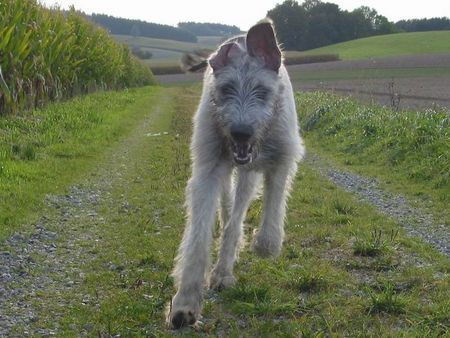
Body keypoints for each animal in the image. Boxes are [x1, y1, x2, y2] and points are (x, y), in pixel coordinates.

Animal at [169, 18, 306, 328]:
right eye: (226, 89)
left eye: (262, 90)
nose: (241, 132)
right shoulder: (207, 169)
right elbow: (197, 237)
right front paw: (185, 302)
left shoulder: (283, 157)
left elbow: (272, 215)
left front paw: (264, 243)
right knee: (227, 208)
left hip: (249, 175)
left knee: (236, 214)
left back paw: (226, 266)